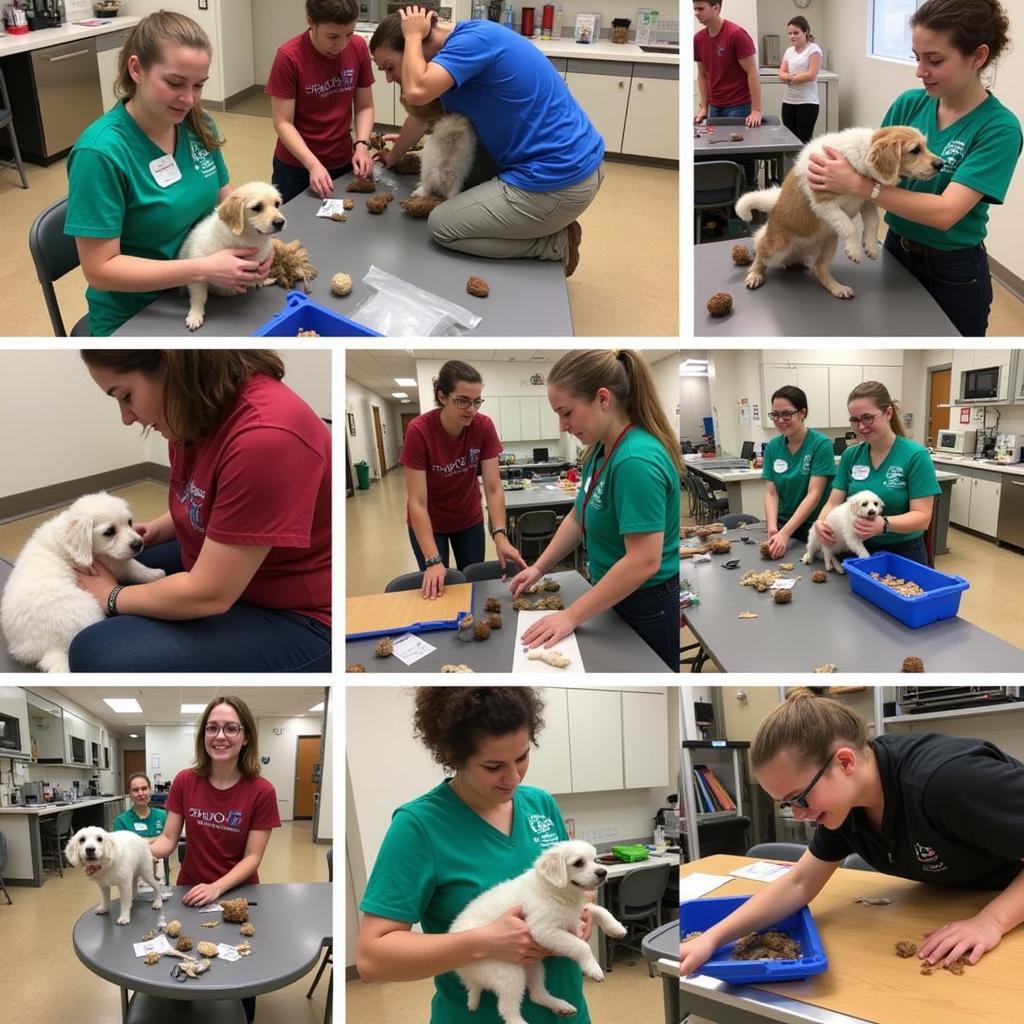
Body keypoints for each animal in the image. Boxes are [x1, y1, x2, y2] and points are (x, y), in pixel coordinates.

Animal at [0, 493, 163, 675]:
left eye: (129, 522)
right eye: (109, 532)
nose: (138, 544)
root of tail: (51, 648)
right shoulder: (111, 563)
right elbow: (133, 566)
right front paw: (156, 574)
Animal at [176, 180, 286, 329]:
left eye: (277, 204)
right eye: (257, 207)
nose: (280, 222)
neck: (247, 239)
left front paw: (259, 280)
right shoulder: (198, 267)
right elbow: (199, 296)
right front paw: (195, 314)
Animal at [448, 839, 622, 1024]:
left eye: (595, 860)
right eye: (578, 863)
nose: (603, 872)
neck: (555, 891)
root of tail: (466, 975)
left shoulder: (575, 912)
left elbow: (599, 910)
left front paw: (616, 927)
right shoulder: (543, 930)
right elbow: (581, 946)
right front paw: (593, 968)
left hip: (532, 965)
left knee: (536, 995)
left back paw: (561, 1006)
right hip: (509, 973)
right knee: (506, 1009)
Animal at [737, 125, 942, 299]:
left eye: (925, 146)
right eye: (915, 150)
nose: (941, 164)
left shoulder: (866, 201)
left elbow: (873, 222)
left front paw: (870, 246)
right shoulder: (824, 203)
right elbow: (849, 226)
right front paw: (855, 249)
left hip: (829, 241)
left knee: (819, 269)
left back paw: (838, 288)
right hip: (778, 247)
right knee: (760, 252)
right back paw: (754, 274)